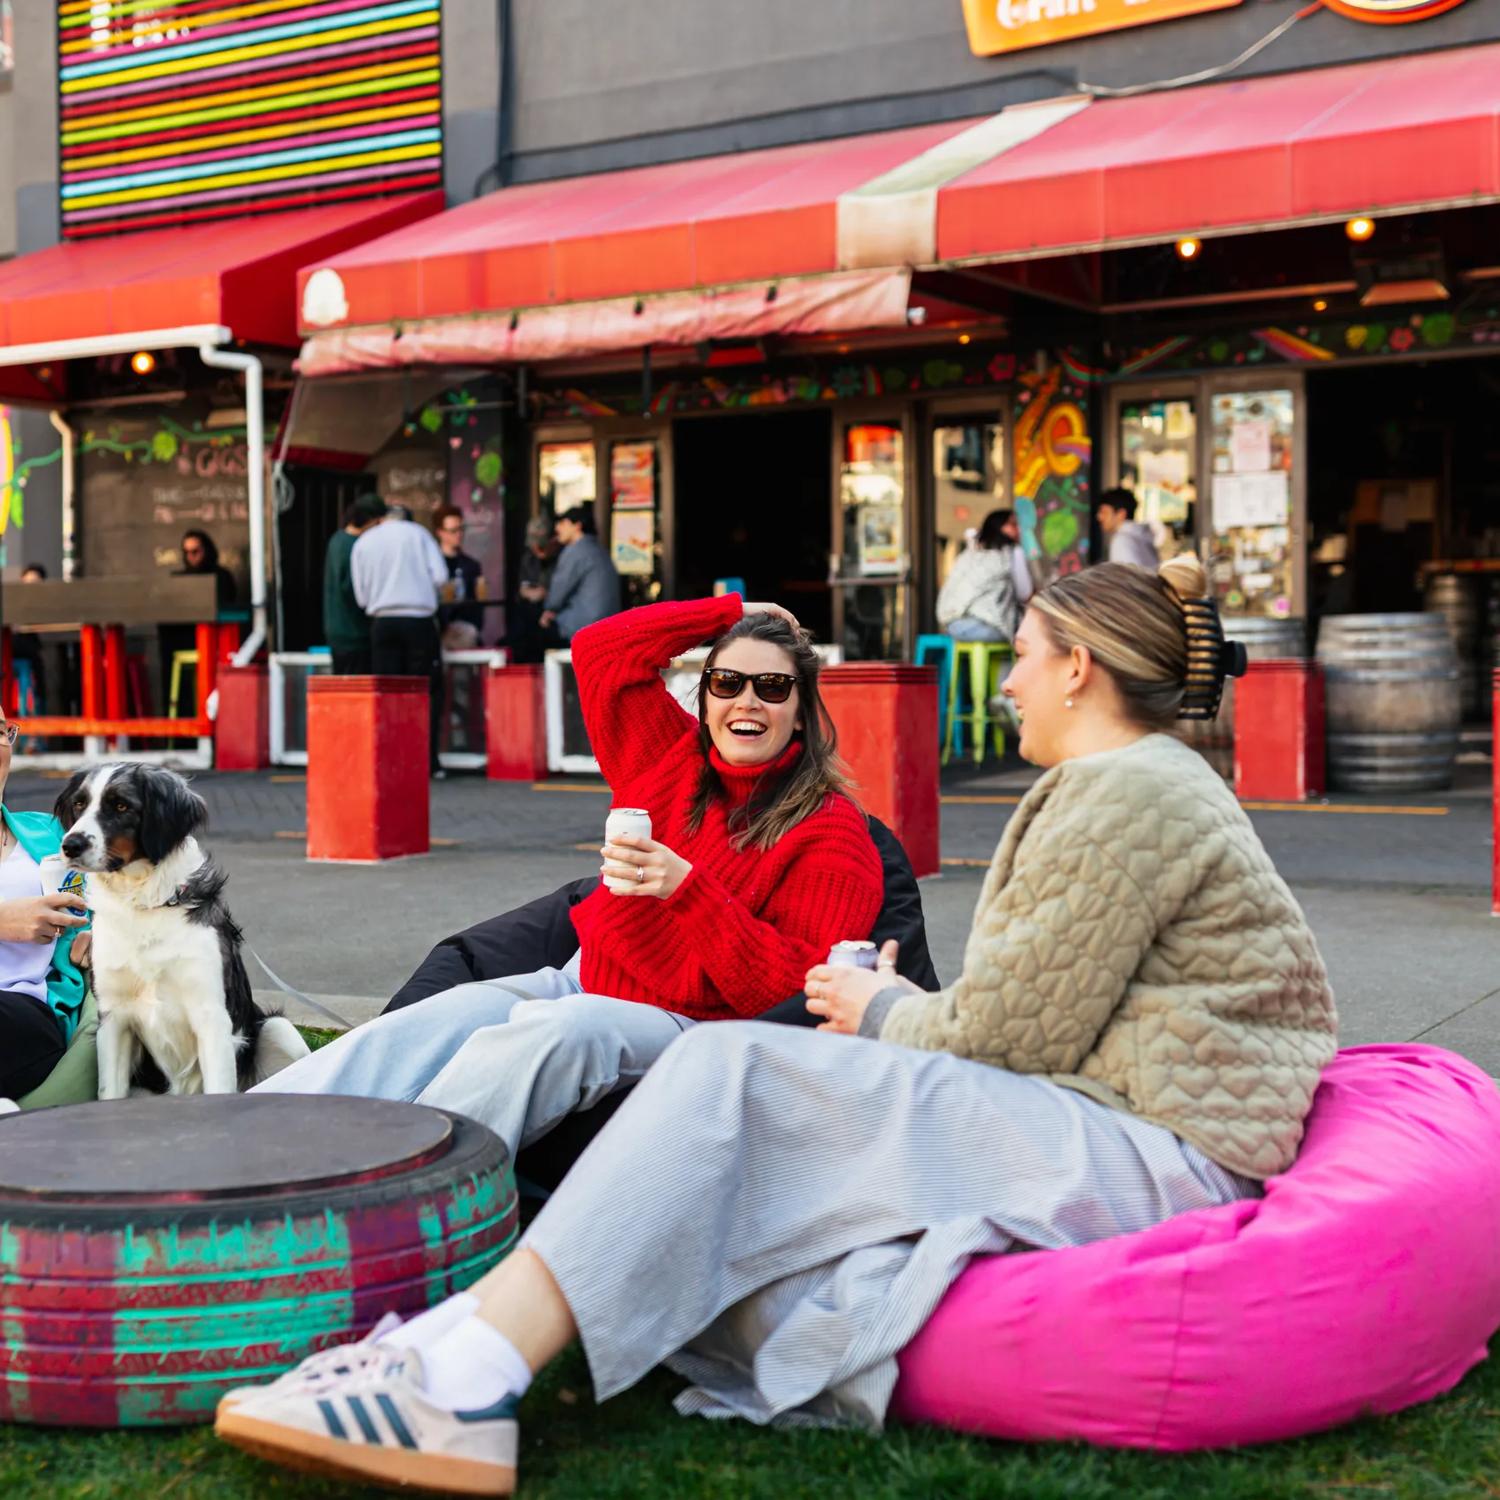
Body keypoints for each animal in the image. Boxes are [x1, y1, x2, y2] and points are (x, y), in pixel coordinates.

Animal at [54, 768, 307, 1098]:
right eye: (79, 804)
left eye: (121, 805)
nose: (70, 845)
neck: (144, 905)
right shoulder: (113, 1017)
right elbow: (110, 1092)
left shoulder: (212, 1016)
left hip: (280, 1030)